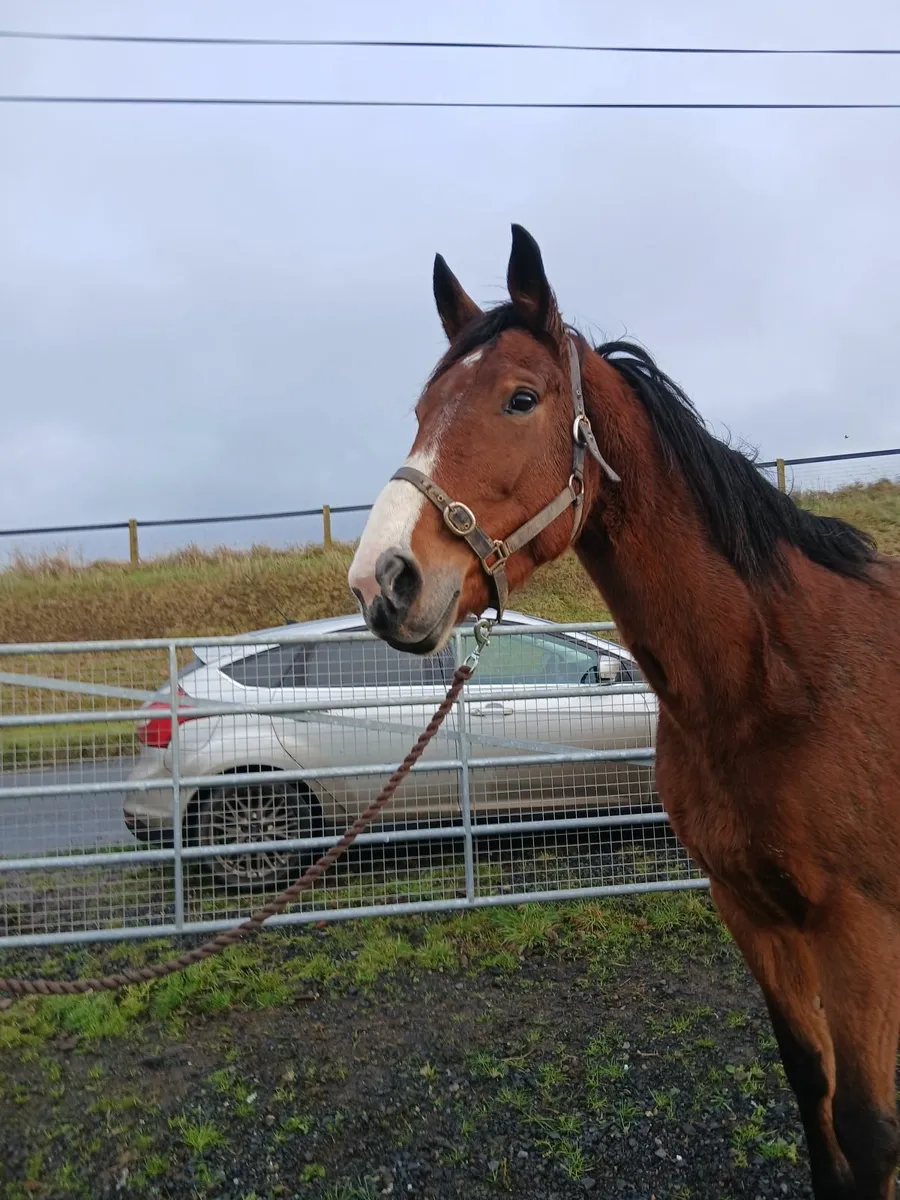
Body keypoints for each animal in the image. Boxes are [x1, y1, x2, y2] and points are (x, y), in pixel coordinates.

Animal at [347, 224, 900, 1198]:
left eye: (521, 399)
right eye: (421, 407)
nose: (383, 581)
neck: (778, 682)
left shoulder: (861, 929)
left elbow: (870, 1135)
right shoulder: (751, 910)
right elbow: (816, 1095)